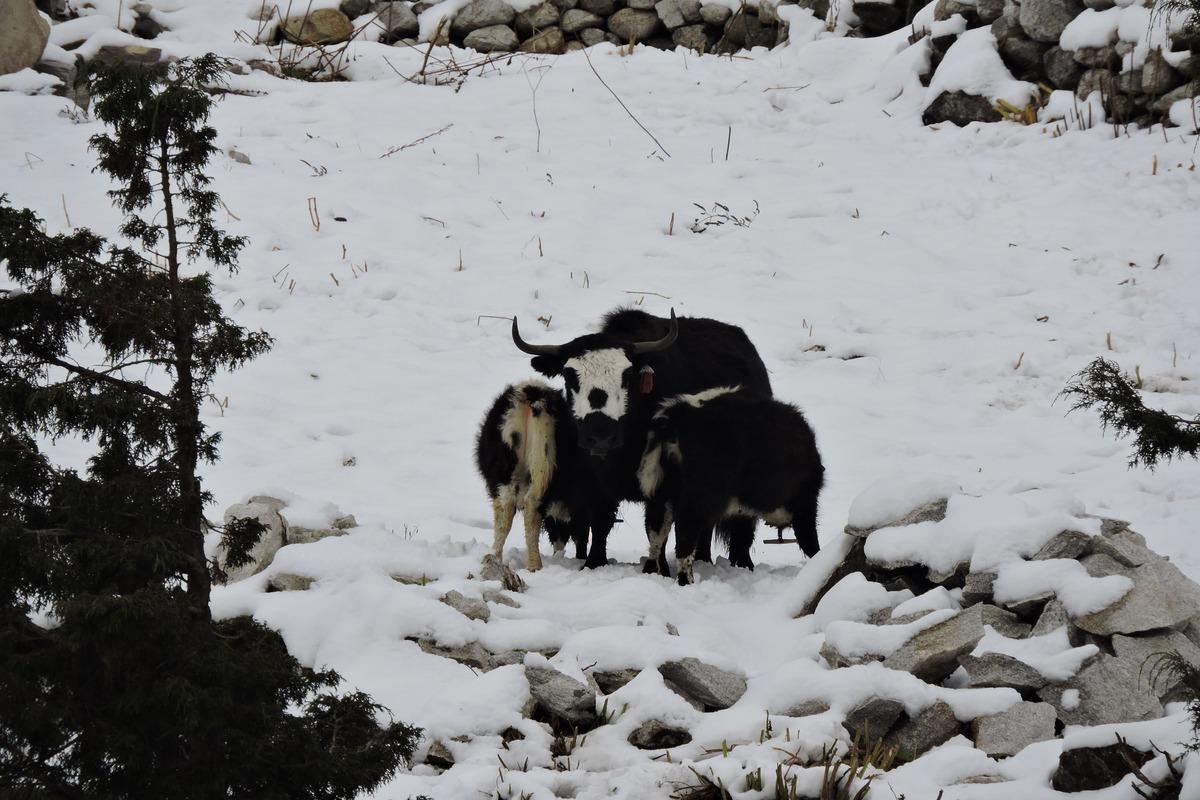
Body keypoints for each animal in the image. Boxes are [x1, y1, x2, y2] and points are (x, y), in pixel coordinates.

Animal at [638, 388, 825, 587]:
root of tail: (680, 414)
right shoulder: (805, 504)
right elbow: (809, 540)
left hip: (661, 497)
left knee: (655, 536)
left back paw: (653, 572)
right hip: (698, 501)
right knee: (684, 540)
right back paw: (687, 581)